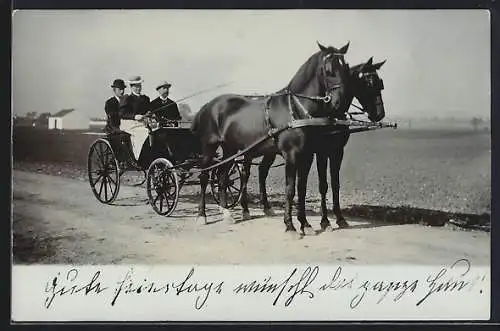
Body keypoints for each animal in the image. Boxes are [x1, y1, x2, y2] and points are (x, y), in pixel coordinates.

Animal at [190, 42, 352, 239]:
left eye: (346, 67)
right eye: (328, 69)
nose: (339, 103)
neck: (295, 109)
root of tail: (207, 105)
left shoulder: (307, 156)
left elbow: (301, 188)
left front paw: (305, 224)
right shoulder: (292, 155)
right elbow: (290, 190)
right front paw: (290, 226)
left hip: (230, 149)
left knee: (221, 177)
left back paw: (227, 213)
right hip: (210, 147)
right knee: (204, 176)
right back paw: (202, 215)